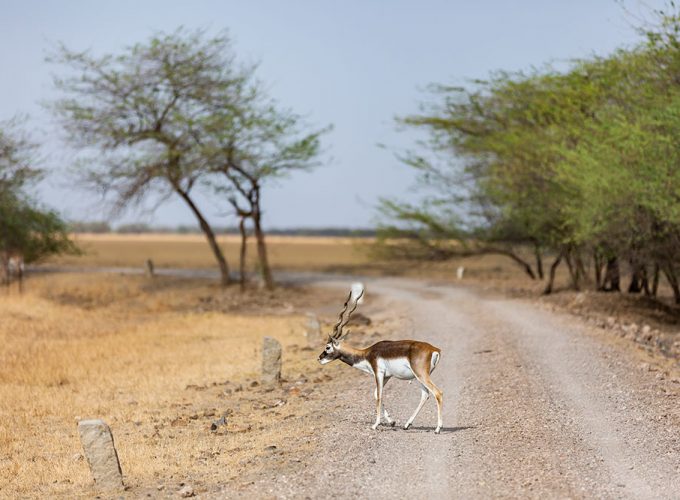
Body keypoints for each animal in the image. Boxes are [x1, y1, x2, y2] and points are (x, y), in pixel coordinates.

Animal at [320, 286, 446, 434]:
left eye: (328, 347)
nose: (319, 358)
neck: (366, 353)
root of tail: (434, 349)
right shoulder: (387, 376)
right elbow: (376, 393)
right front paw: (392, 421)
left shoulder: (378, 373)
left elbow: (379, 395)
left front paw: (375, 424)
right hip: (418, 377)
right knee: (425, 395)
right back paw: (407, 424)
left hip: (421, 375)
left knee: (437, 393)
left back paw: (438, 428)